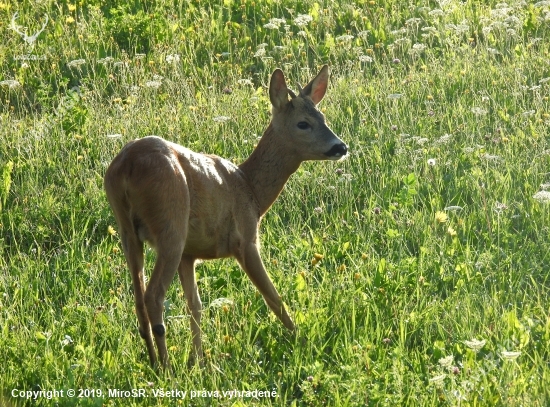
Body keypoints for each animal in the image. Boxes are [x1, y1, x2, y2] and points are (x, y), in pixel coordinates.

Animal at [103, 65, 350, 368]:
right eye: (303, 123)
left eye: (323, 117)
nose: (340, 147)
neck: (251, 189)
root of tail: (126, 167)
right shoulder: (245, 240)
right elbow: (273, 297)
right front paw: (302, 342)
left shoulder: (190, 254)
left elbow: (195, 305)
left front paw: (198, 360)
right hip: (170, 225)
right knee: (153, 296)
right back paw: (166, 367)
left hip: (128, 231)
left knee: (138, 299)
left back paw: (153, 361)